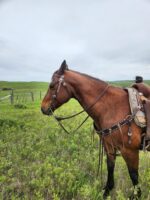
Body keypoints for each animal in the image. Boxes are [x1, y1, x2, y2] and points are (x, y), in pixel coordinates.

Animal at [41, 60, 143, 198]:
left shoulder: (130, 151)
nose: (43, 108)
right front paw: (106, 192)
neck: (113, 107)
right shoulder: (110, 147)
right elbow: (110, 167)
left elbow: (134, 177)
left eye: (52, 85)